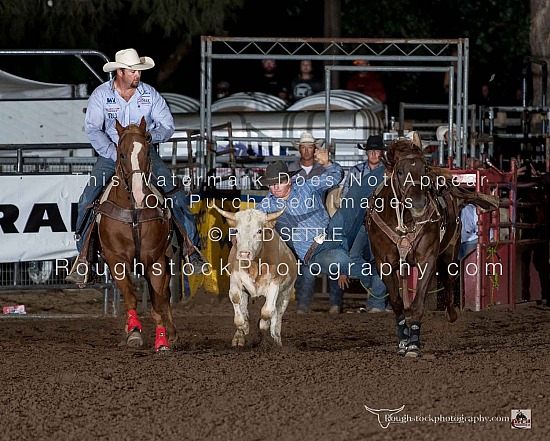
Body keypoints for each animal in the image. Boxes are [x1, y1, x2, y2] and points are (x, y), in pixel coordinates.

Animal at [97, 116, 177, 350]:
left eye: (147, 153)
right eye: (122, 154)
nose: (140, 194)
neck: (133, 211)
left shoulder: (155, 260)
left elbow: (157, 303)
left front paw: (162, 341)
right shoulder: (116, 260)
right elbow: (131, 298)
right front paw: (133, 332)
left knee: (164, 294)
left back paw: (172, 333)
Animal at [368, 135, 464, 358]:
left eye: (425, 169)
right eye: (400, 171)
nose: (419, 204)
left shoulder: (426, 259)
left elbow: (418, 303)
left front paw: (413, 345)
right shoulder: (383, 263)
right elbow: (396, 302)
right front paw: (403, 341)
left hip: (451, 250)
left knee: (449, 278)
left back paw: (451, 313)